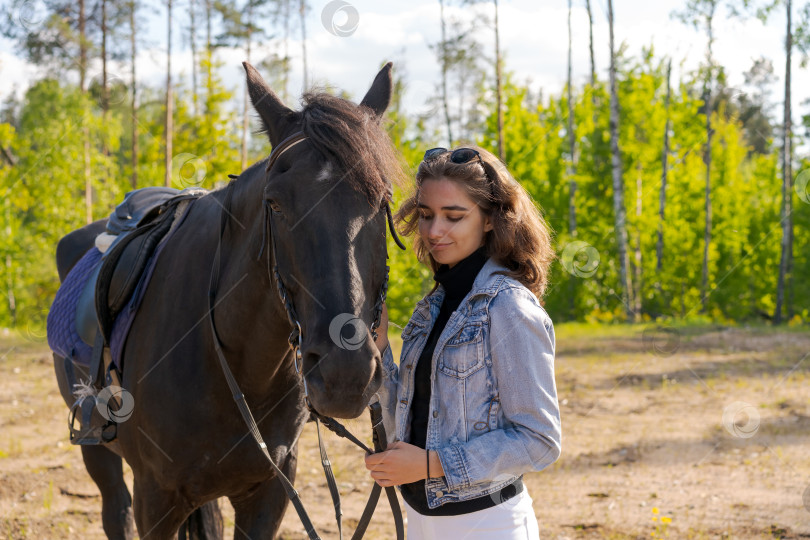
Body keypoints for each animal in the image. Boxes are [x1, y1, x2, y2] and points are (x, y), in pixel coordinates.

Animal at [50, 61, 404, 536]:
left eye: (382, 200)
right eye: (275, 204)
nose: (344, 375)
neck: (236, 364)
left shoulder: (268, 494)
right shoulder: (155, 499)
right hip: (97, 449)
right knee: (114, 511)